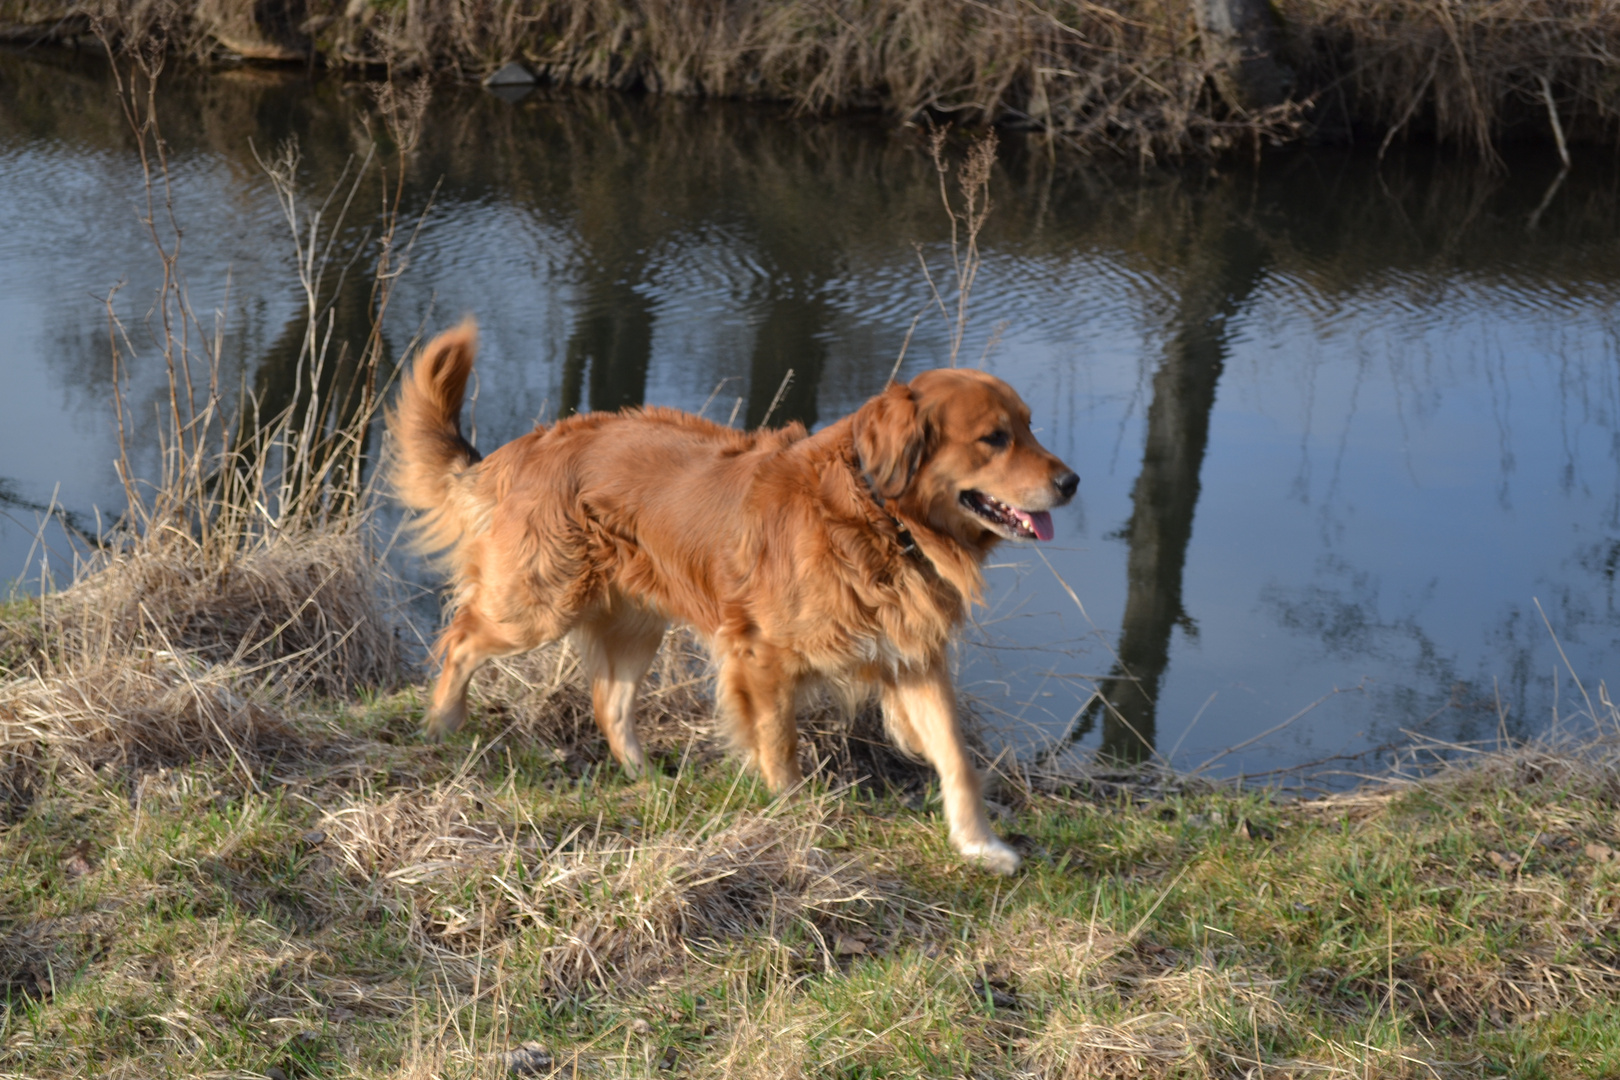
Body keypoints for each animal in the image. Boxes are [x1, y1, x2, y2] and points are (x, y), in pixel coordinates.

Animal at [388, 320, 1075, 880]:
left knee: (609, 702)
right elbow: (779, 743)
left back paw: (644, 777)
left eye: (1029, 425)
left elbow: (956, 758)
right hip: (537, 606)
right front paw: (792, 818)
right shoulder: (761, 656)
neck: (880, 518)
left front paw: (981, 846)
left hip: (635, 623)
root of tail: (531, 445)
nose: (1072, 482)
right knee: (461, 638)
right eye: (993, 438)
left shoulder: (912, 658)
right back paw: (442, 724)